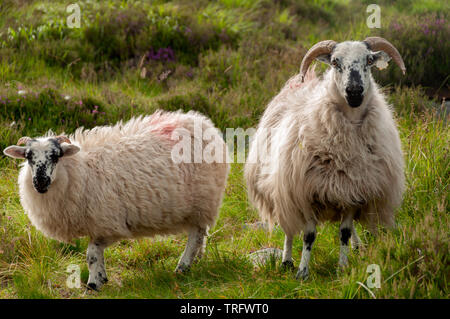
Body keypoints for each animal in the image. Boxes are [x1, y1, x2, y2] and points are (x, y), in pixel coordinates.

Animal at [2, 109, 229, 290]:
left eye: (55, 155)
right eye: (28, 157)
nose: (40, 182)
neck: (79, 170)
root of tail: (204, 122)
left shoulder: (108, 221)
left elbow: (92, 253)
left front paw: (94, 284)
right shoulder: (98, 223)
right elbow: (96, 254)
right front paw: (101, 277)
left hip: (203, 200)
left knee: (196, 235)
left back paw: (183, 266)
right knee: (200, 235)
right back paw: (196, 260)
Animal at [244, 36, 406, 278]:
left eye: (369, 60)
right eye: (335, 62)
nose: (354, 91)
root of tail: (301, 82)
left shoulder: (353, 191)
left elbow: (345, 232)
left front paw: (343, 266)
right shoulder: (307, 193)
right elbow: (308, 236)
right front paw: (302, 271)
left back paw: (357, 246)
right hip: (282, 189)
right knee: (289, 228)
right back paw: (286, 260)